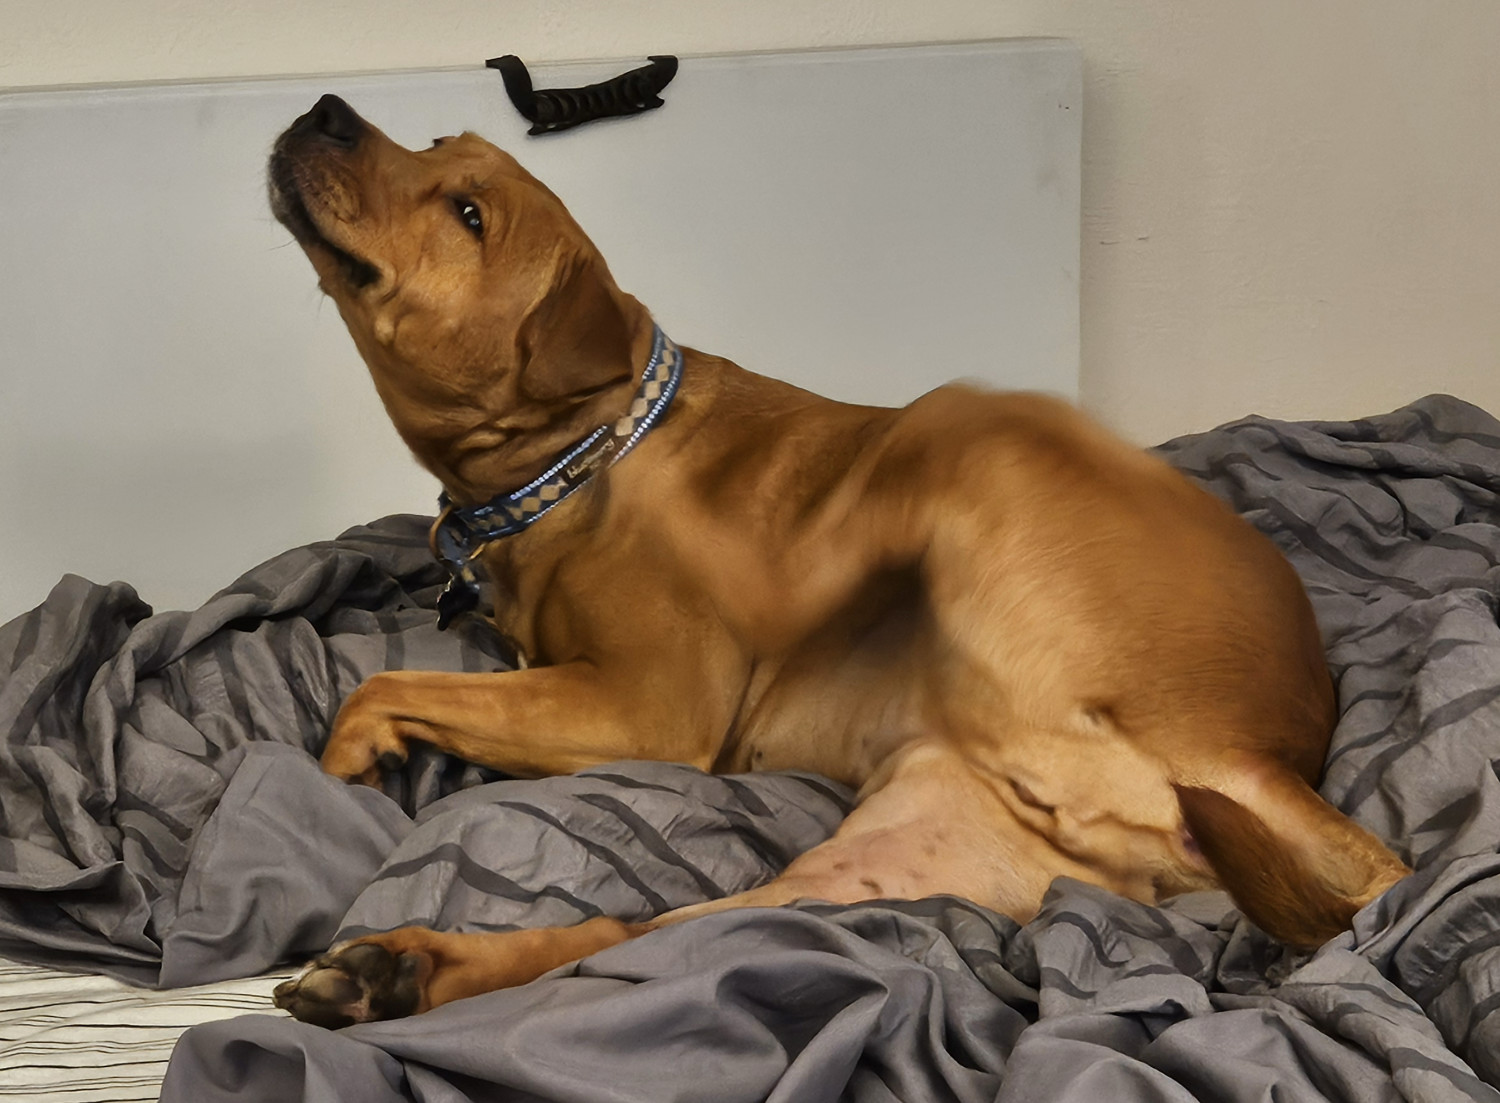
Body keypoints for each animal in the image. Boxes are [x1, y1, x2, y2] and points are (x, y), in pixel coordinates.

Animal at [267, 92, 1404, 1026]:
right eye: (430, 147)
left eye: (468, 213)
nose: (326, 110)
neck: (585, 453)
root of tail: (1257, 756)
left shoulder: (649, 704)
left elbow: (378, 684)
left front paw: (336, 771)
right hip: (867, 867)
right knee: (622, 938)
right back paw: (403, 970)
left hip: (967, 431)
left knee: (854, 501)